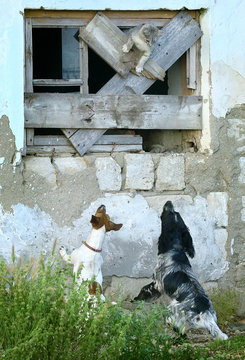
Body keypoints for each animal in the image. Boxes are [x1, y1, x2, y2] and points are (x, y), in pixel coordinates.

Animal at [134, 202, 228, 340]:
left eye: (170, 214)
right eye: (177, 213)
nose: (169, 202)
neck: (175, 249)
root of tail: (205, 315)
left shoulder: (157, 283)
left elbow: (146, 289)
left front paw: (138, 298)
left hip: (172, 310)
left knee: (175, 325)